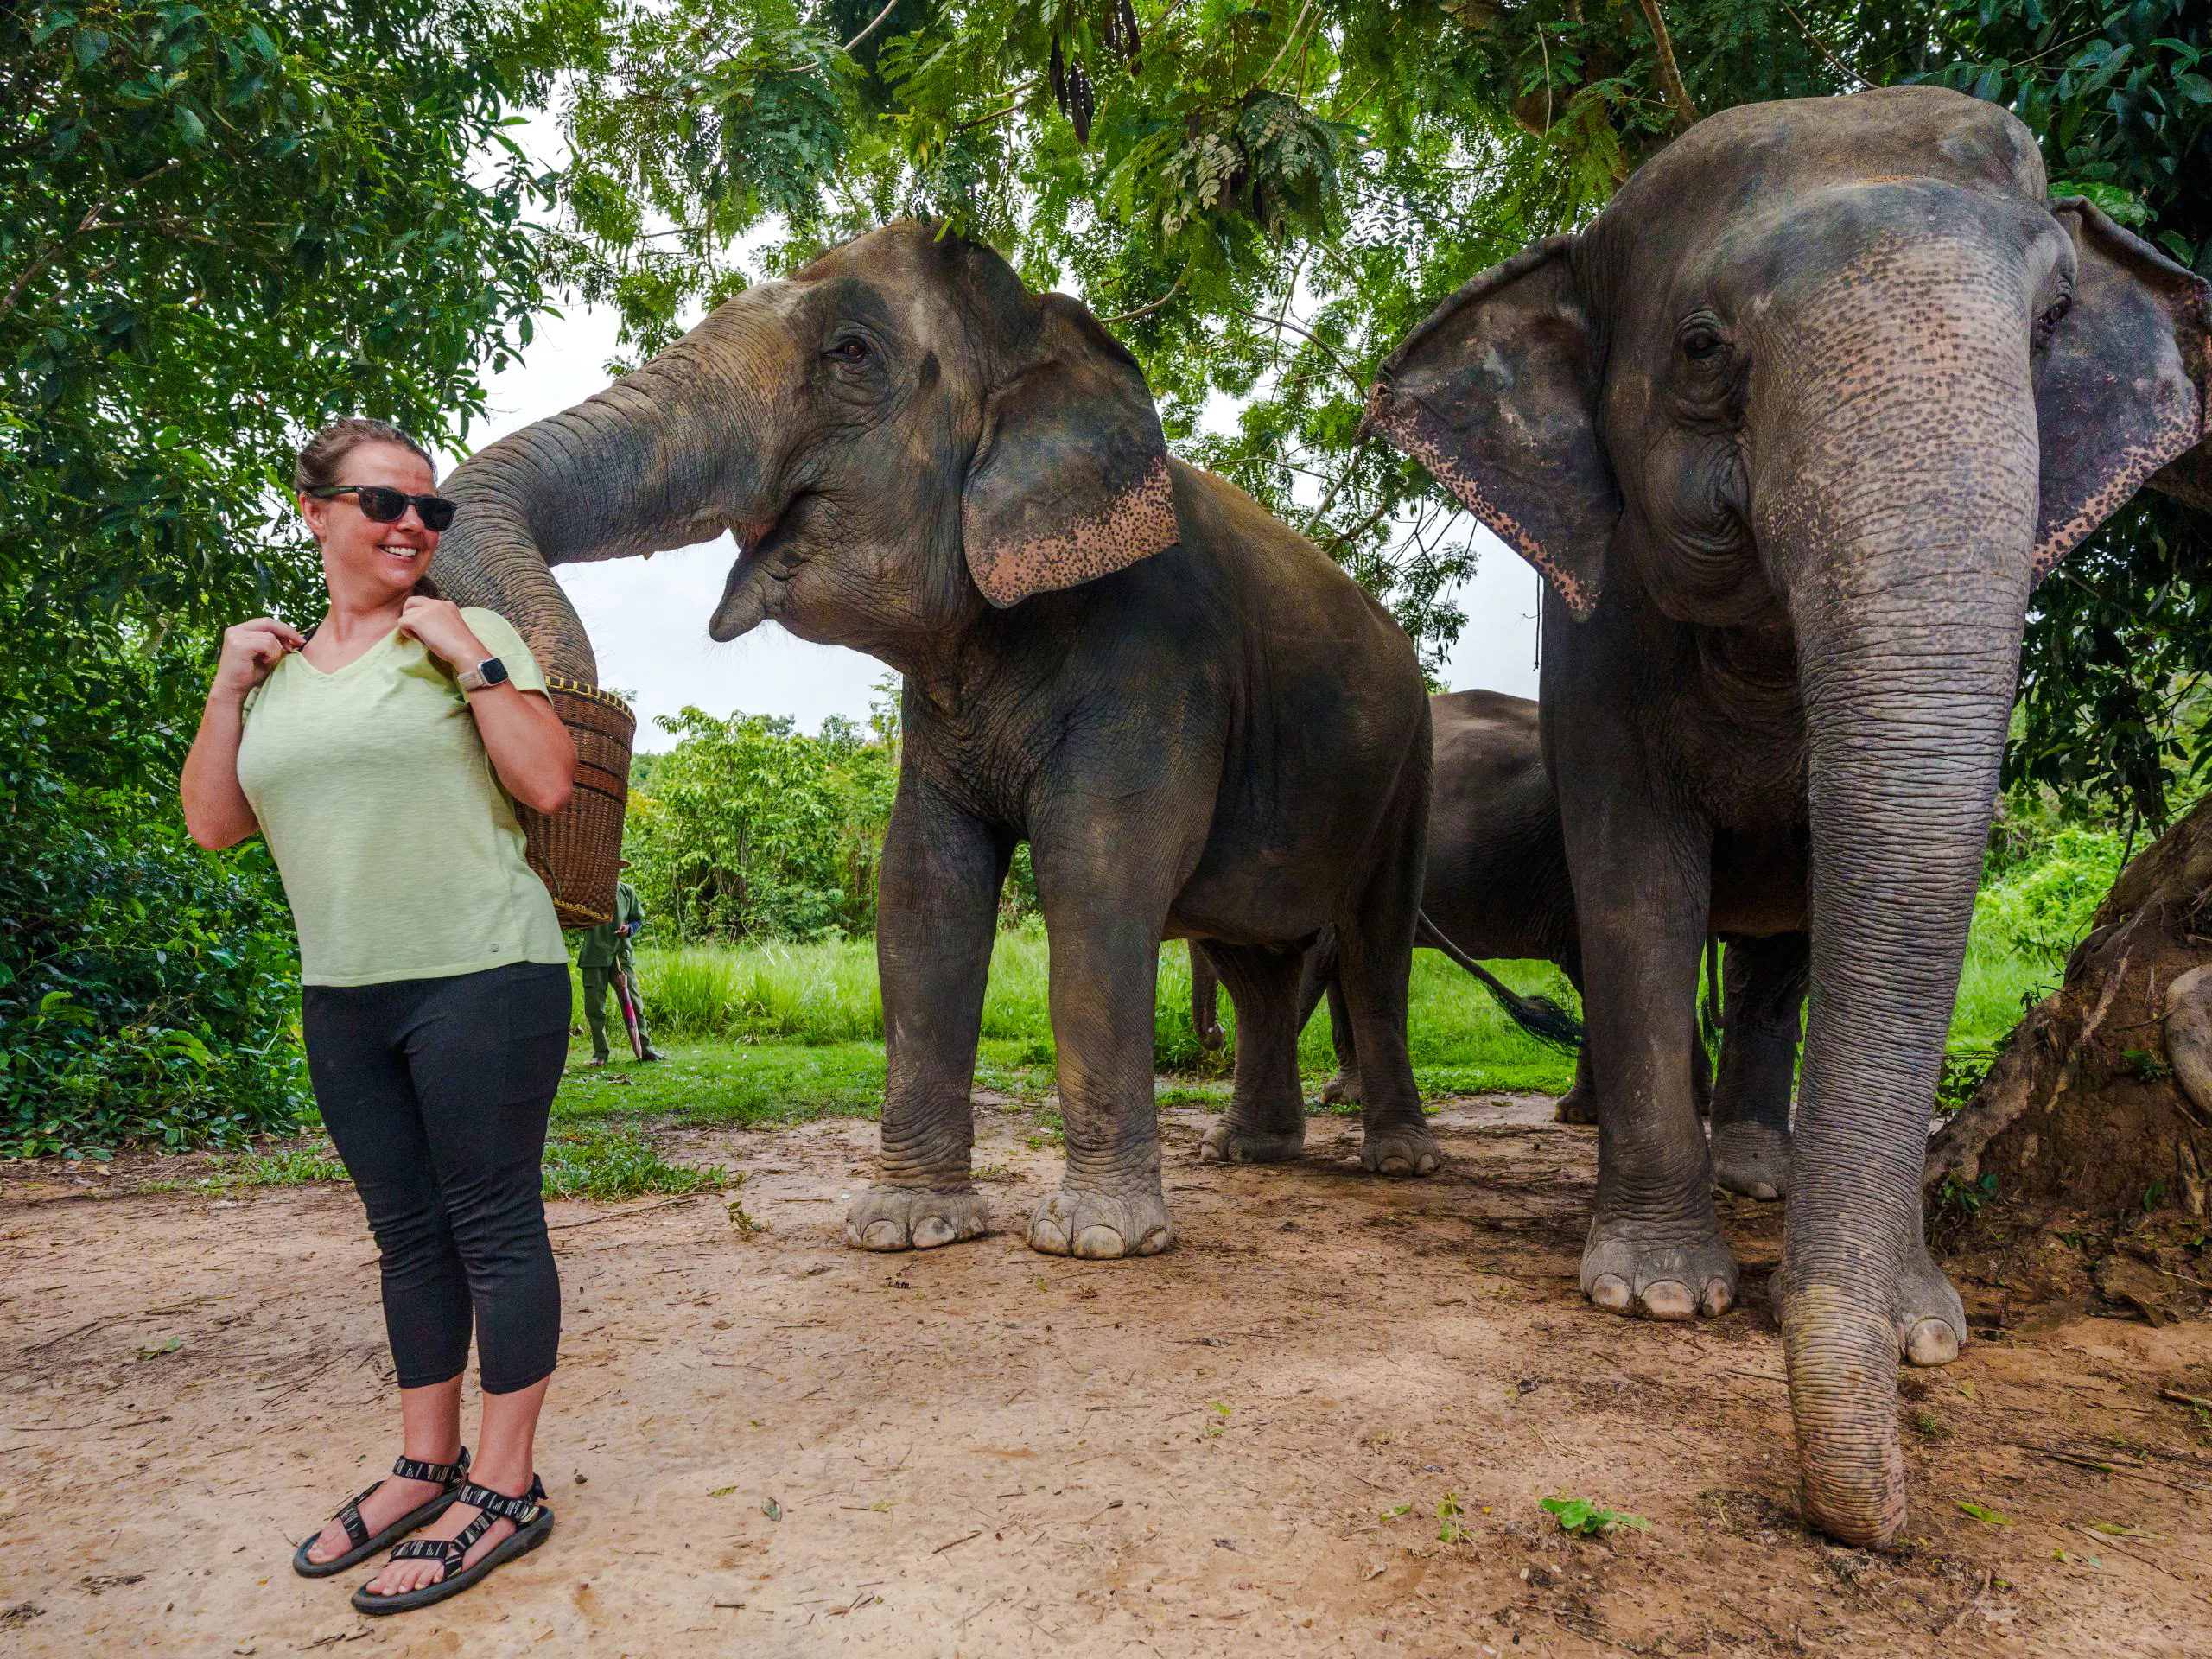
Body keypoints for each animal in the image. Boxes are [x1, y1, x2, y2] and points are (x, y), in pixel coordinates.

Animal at [428, 222, 1441, 1263]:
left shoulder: (1160, 659)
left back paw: (1397, 1161)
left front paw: (1096, 1241)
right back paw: (1248, 1152)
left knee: (1375, 947)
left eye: (852, 354)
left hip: (1413, 761)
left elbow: (1097, 875)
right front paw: (905, 1229)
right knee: (1253, 961)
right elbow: (923, 888)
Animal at [1368, 85, 2210, 1546]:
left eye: (2054, 319)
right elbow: (1638, 889)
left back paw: (1761, 1170)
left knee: (1781, 955)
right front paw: (1654, 1292)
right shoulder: (1597, 632)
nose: (1882, 1520)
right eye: (1703, 348)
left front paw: (1927, 1326)